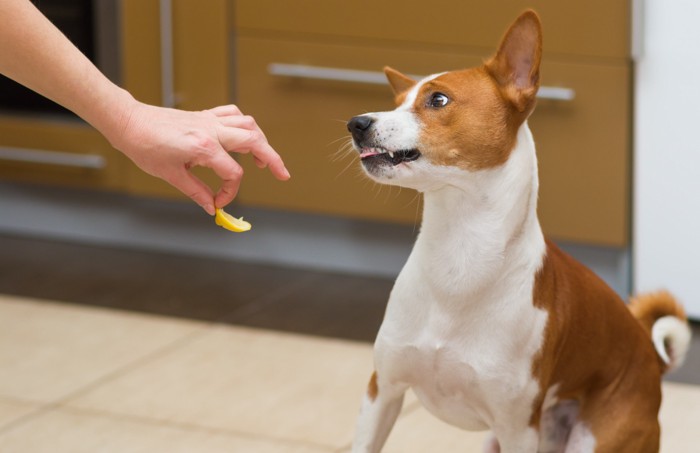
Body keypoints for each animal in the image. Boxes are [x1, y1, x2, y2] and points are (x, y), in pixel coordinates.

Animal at [344, 10, 688, 452]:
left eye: (437, 100)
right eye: (397, 103)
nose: (357, 123)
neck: (459, 253)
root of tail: (650, 357)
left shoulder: (517, 427)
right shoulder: (382, 392)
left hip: (593, 438)